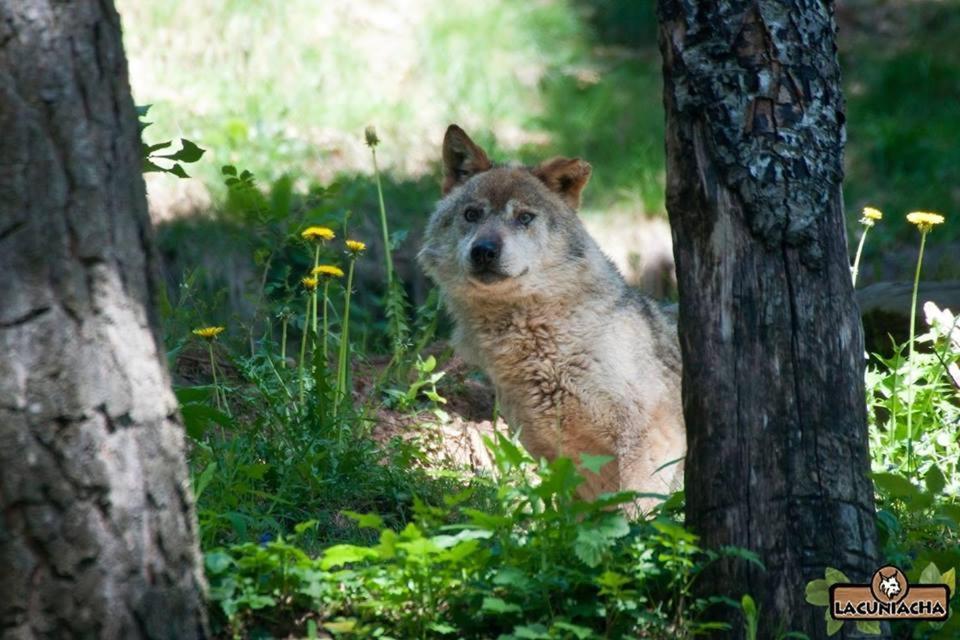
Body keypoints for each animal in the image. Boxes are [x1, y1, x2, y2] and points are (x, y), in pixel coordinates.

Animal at [418, 125, 684, 504]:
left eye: (524, 217)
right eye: (472, 214)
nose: (484, 251)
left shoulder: (653, 441)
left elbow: (634, 512)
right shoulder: (558, 462)